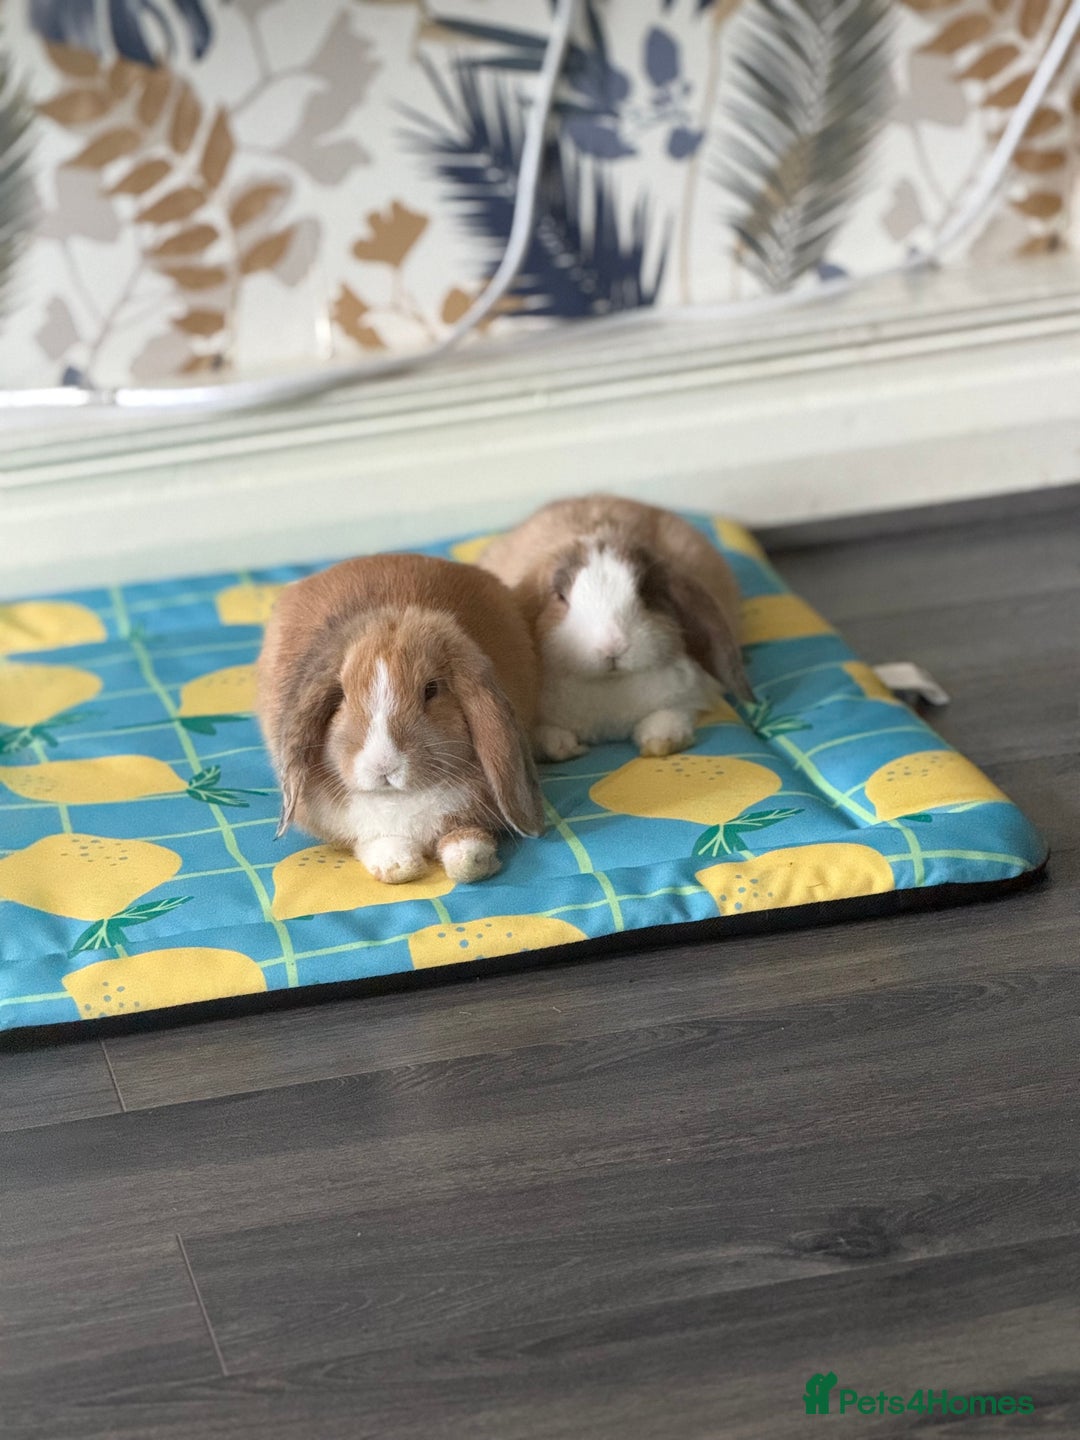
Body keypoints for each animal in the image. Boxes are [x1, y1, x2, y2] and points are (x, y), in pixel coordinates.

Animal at [257, 552, 544, 885]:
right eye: (341, 695)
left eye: (431, 689)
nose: (384, 765)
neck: (399, 796)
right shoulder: (357, 829)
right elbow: (377, 842)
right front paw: (398, 866)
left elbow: (464, 838)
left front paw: (473, 860)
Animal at [478, 494, 753, 762]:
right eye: (560, 597)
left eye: (646, 592)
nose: (613, 647)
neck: (609, 685)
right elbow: (544, 734)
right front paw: (561, 747)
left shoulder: (687, 697)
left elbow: (670, 716)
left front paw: (661, 742)